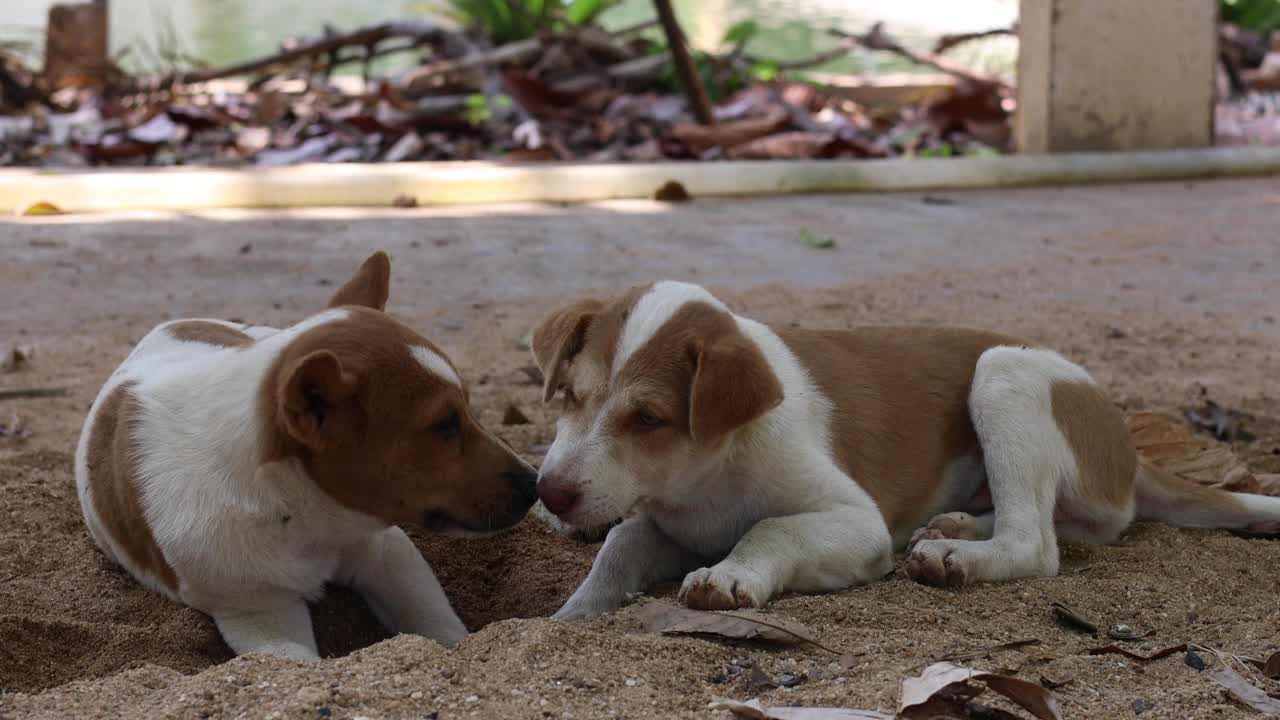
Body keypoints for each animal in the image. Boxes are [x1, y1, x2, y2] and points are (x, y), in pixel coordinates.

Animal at [74, 251, 535, 655]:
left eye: (467, 411)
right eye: (444, 425)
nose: (534, 484)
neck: (301, 515)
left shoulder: (385, 549)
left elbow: (433, 619)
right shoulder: (260, 614)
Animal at [529, 280, 1280, 617]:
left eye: (648, 418)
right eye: (568, 396)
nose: (549, 494)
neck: (704, 477)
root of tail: (1124, 439)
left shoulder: (855, 522)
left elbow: (772, 528)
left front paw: (733, 574)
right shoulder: (665, 522)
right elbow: (620, 542)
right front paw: (572, 616)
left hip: (1003, 375)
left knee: (1038, 543)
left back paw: (958, 556)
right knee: (1073, 524)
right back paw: (958, 525)